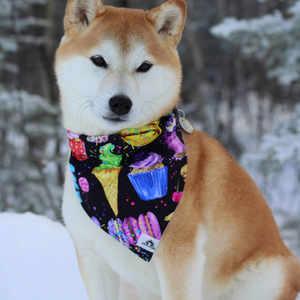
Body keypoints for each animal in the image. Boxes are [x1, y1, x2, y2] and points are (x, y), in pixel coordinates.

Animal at [55, 0, 300, 298]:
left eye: (144, 66)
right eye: (99, 60)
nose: (120, 103)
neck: (118, 150)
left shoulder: (179, 256)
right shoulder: (92, 256)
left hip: (267, 277)